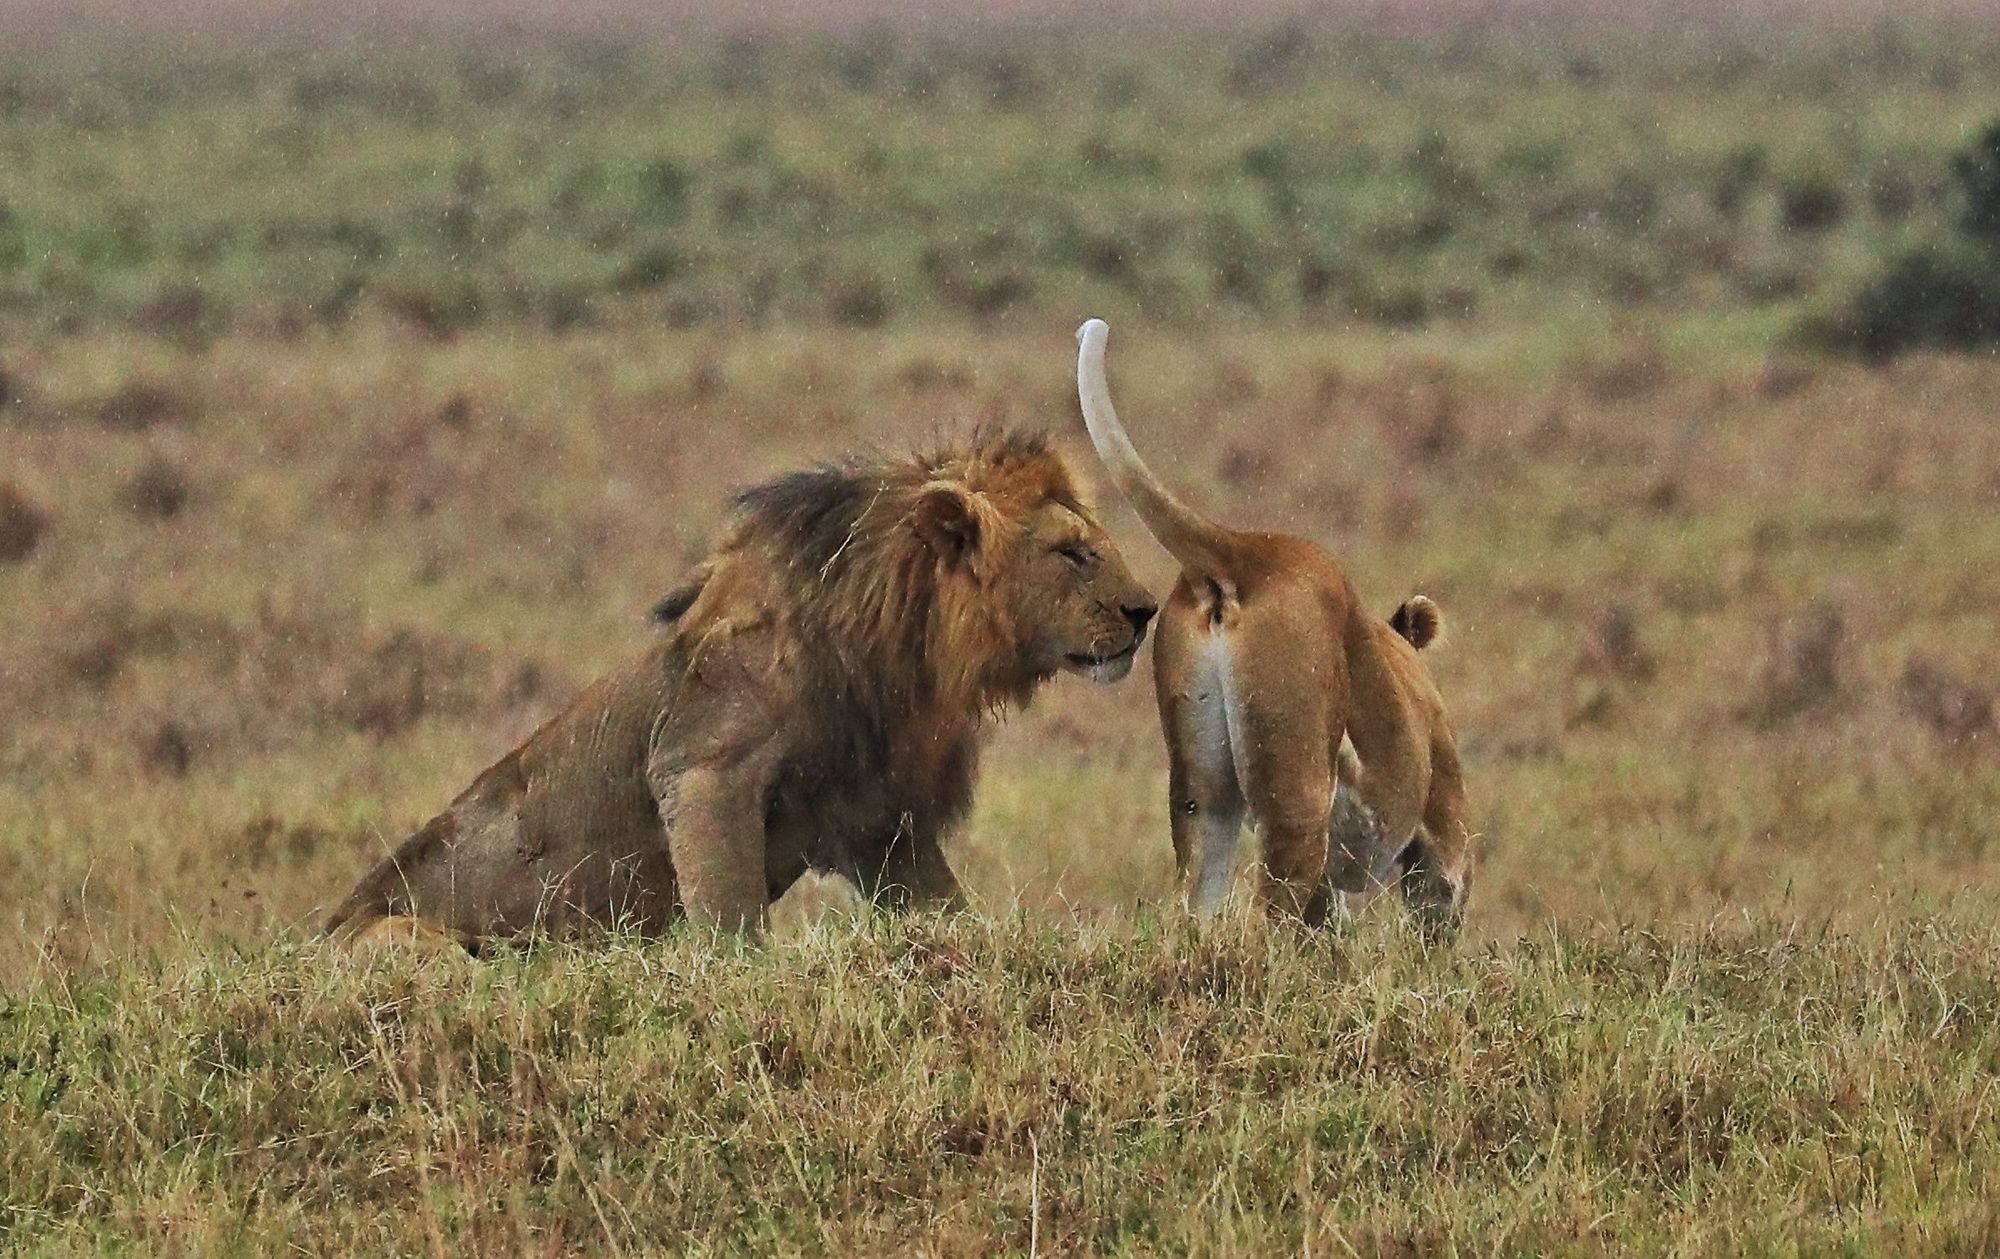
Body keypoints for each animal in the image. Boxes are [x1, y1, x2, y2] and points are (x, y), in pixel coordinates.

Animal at [328, 429, 1160, 951]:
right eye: (1072, 552)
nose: (1147, 611)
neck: (902, 644)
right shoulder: (704, 769)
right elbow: (732, 922)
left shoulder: (877, 818)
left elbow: (949, 910)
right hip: (404, 940)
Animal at [1072, 323, 1480, 939]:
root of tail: (1245, 550)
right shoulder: (1444, 821)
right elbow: (1440, 900)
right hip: (1298, 787)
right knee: (1272, 918)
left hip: (1203, 792)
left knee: (1194, 904)